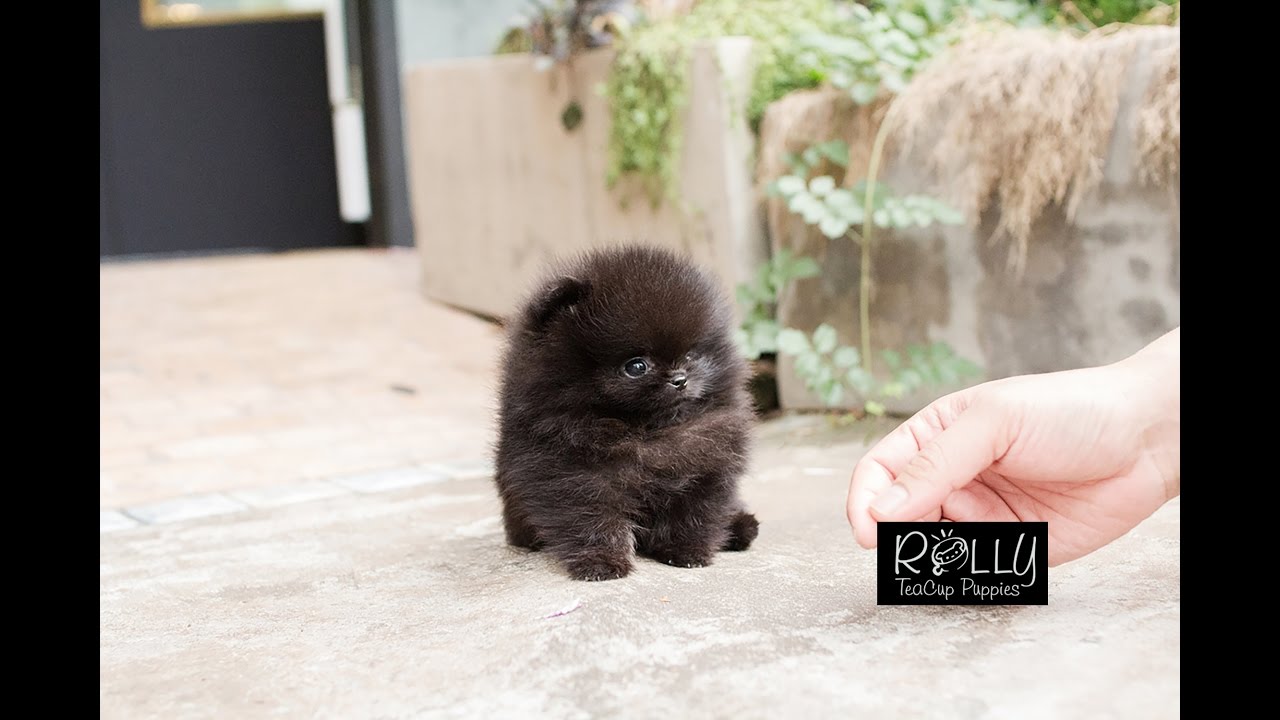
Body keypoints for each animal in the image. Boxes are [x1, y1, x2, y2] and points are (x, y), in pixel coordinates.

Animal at [494, 243, 757, 579]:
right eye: (636, 366)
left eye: (691, 356)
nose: (680, 379)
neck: (647, 434)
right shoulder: (572, 476)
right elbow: (594, 520)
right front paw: (602, 562)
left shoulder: (709, 466)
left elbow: (695, 514)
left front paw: (687, 552)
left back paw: (742, 527)